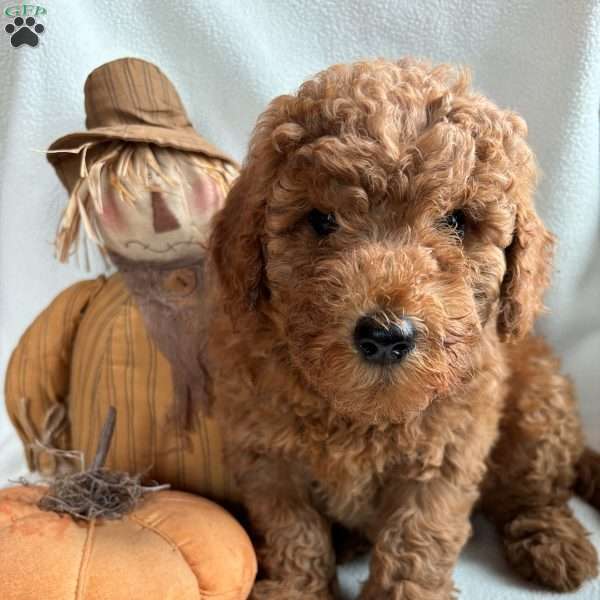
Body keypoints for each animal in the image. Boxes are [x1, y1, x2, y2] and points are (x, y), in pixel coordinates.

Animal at [205, 59, 596, 600]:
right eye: (322, 220)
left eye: (456, 221)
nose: (386, 335)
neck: (360, 414)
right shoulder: (266, 453)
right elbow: (292, 530)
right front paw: (295, 589)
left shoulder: (445, 456)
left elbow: (417, 540)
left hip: (540, 401)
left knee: (535, 491)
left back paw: (553, 542)